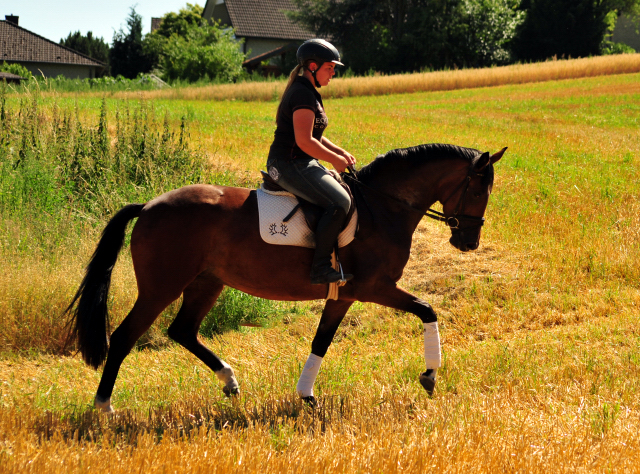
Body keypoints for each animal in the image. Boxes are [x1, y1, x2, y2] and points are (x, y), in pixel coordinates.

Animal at [65, 143, 504, 412]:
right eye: (478, 192)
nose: (469, 242)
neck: (383, 207)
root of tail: (149, 205)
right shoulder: (373, 287)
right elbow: (428, 310)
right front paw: (430, 375)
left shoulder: (343, 295)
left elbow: (321, 341)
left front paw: (306, 396)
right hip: (162, 287)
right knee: (125, 336)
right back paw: (104, 407)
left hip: (207, 282)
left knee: (183, 331)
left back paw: (229, 381)